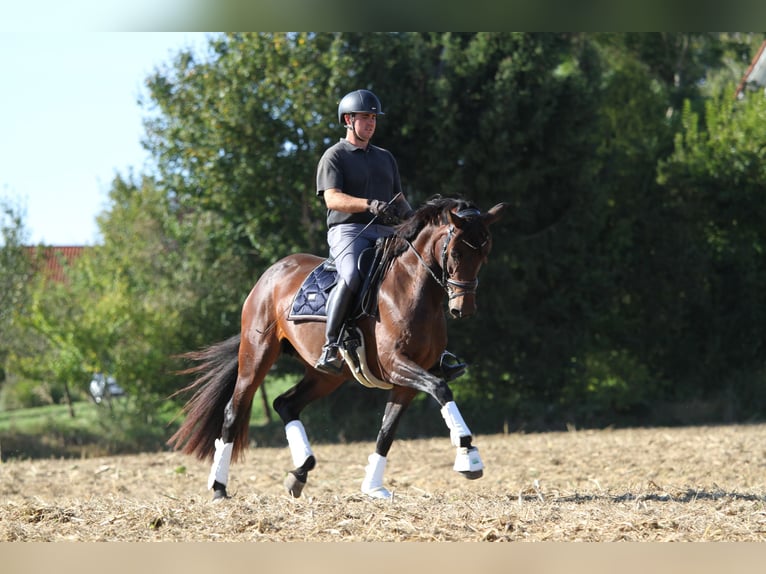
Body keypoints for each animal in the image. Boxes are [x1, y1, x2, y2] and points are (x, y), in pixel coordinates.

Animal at [169, 197, 508, 500]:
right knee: (233, 411)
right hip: (257, 356)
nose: (463, 309)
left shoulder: (408, 379)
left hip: (327, 376)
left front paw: (373, 487)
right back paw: (219, 488)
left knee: (285, 404)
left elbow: (387, 431)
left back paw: (299, 473)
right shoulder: (395, 364)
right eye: (456, 251)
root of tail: (272, 273)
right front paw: (468, 454)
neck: (412, 289)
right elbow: (440, 389)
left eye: (485, 252)